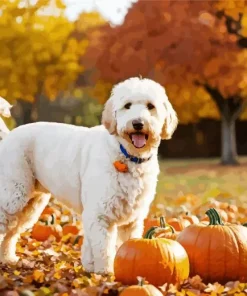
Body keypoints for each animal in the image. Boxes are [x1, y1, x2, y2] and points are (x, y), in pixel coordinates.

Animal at [0, 76, 178, 272]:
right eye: (127, 105)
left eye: (150, 106)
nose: (138, 123)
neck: (126, 155)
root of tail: (8, 136)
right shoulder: (100, 213)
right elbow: (104, 249)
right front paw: (105, 273)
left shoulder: (131, 220)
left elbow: (123, 244)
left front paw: (91, 267)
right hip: (13, 195)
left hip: (30, 204)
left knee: (11, 232)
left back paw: (7, 258)